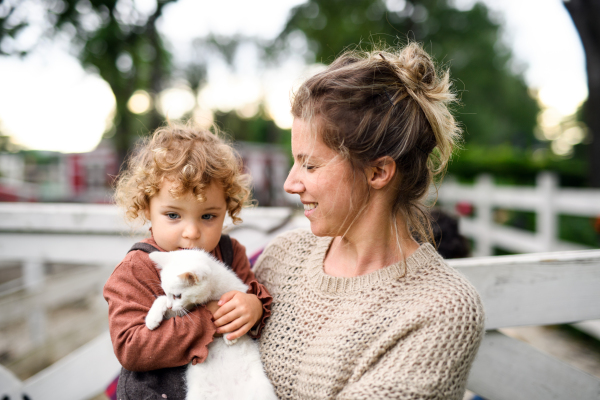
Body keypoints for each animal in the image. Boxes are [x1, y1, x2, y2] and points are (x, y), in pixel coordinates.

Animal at [145, 250, 276, 400]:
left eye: (178, 296)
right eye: (166, 293)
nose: (169, 306)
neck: (211, 294)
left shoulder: (239, 292)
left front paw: (229, 334)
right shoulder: (183, 311)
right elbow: (161, 300)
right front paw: (152, 318)